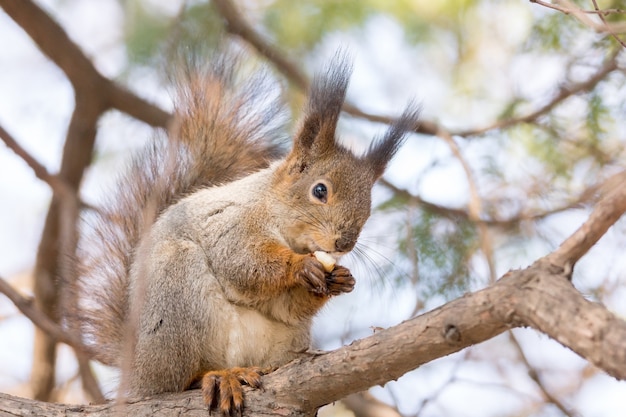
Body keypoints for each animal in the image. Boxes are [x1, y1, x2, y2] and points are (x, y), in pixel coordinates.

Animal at [74, 50, 420, 414]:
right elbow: (244, 262)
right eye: (320, 190)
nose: (344, 243)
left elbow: (285, 307)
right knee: (178, 380)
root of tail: (137, 371)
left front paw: (339, 279)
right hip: (174, 298)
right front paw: (300, 266)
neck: (276, 214)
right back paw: (215, 377)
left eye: (368, 207)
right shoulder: (233, 224)